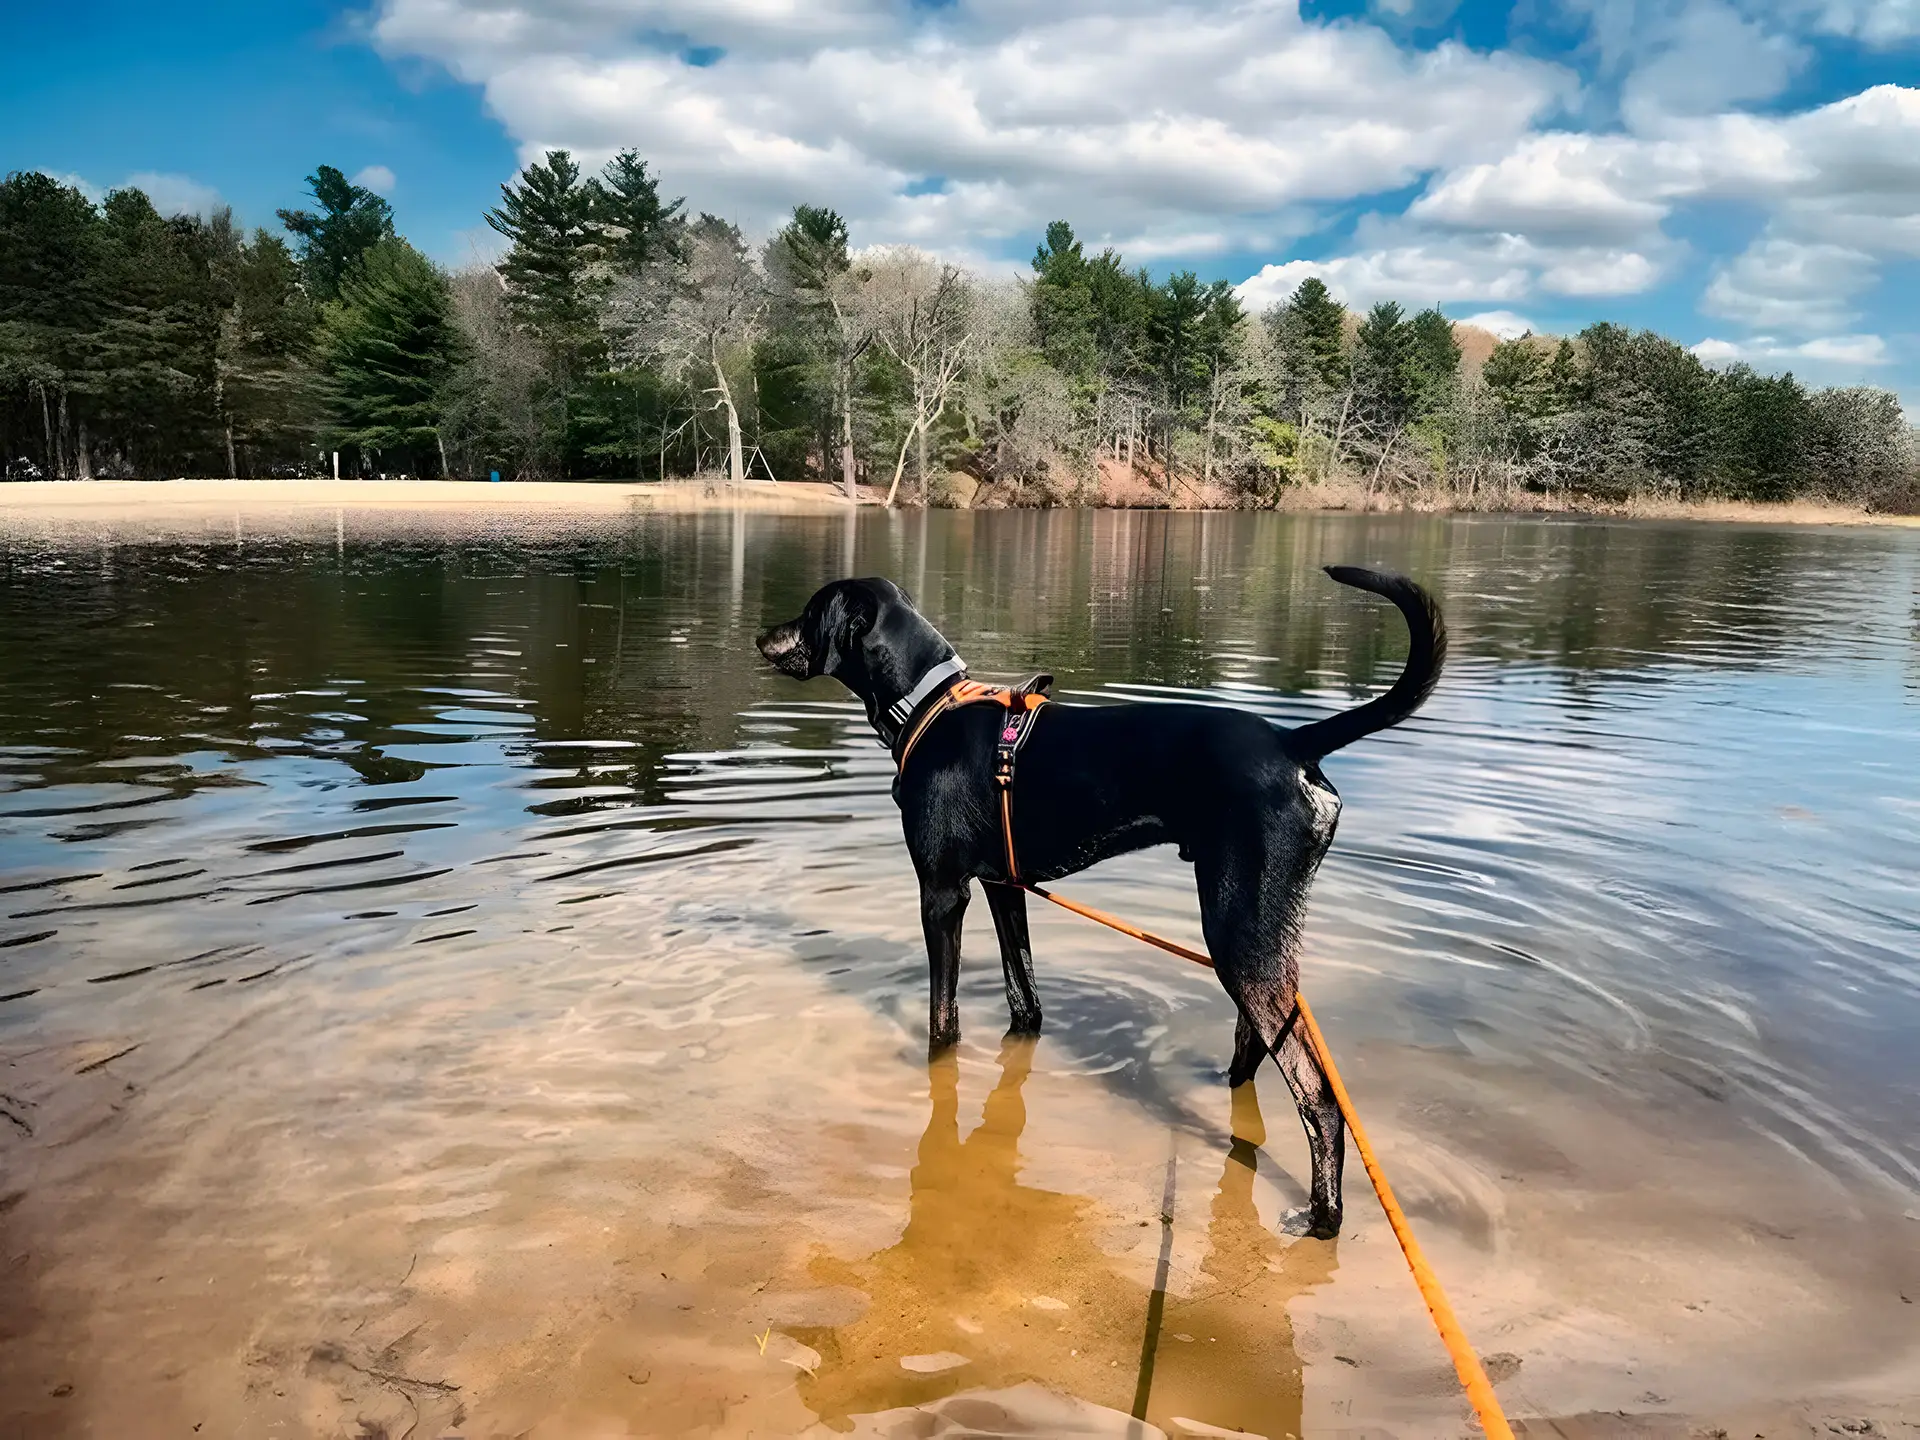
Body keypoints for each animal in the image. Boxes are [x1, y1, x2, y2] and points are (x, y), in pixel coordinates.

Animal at [756, 568, 1443, 1244]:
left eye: (812, 610)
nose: (762, 635)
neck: (928, 704)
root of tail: (1291, 740)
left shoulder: (942, 894)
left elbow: (942, 1023)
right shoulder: (1005, 889)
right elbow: (1024, 997)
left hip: (1238, 930)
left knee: (1319, 1094)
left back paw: (1323, 1218)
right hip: (1258, 931)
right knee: (1257, 1046)